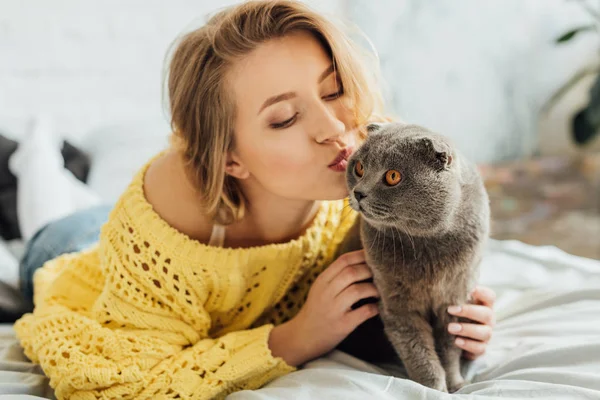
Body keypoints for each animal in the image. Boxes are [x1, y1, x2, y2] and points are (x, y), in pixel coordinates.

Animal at [336, 121, 490, 390]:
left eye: (393, 176)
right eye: (359, 167)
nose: (358, 192)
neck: (427, 243)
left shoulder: (454, 300)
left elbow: (450, 348)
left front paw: (456, 384)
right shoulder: (398, 305)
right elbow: (419, 353)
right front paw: (435, 388)